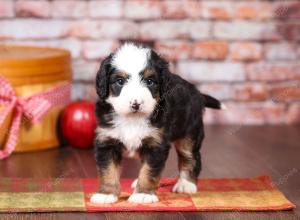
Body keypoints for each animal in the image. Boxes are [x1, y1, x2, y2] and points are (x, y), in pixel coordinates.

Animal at [90, 43, 224, 205]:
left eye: (149, 82)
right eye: (120, 81)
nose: (136, 103)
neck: (133, 119)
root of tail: (197, 93)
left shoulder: (156, 144)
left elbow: (149, 171)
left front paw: (143, 194)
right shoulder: (107, 141)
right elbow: (108, 170)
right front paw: (106, 194)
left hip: (189, 133)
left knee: (190, 158)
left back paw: (186, 184)